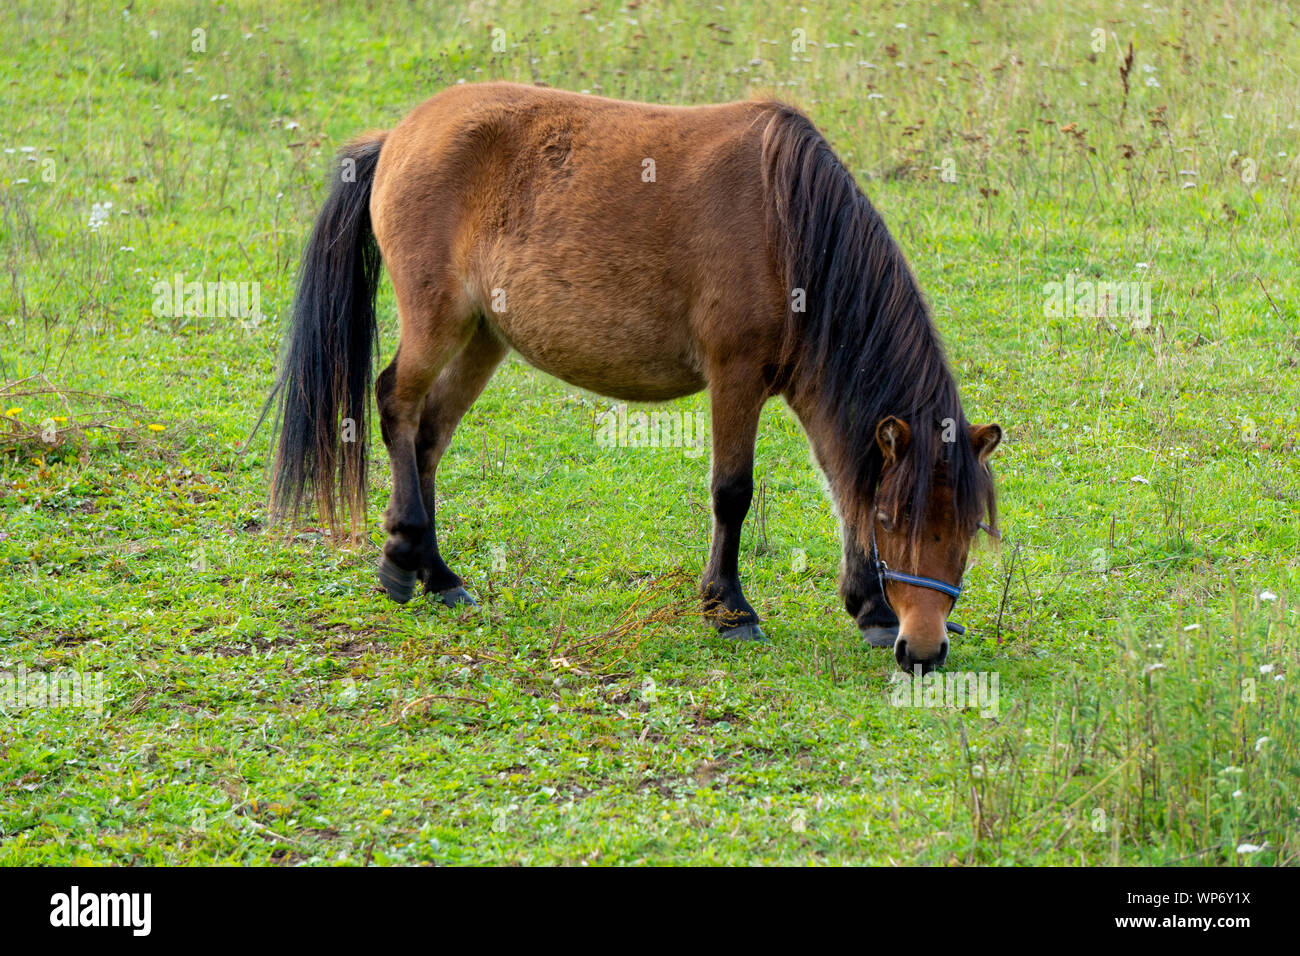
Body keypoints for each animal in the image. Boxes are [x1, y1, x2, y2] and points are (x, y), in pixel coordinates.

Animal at [264, 82, 1002, 674]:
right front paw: (730, 609)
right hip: (437, 323)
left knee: (427, 437)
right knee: (395, 404)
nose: (925, 648)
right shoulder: (736, 377)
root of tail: (398, 136)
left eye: (967, 529)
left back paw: (438, 574)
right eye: (898, 520)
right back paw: (400, 557)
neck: (789, 226)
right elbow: (733, 493)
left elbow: (843, 487)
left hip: (482, 337)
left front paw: (868, 608)